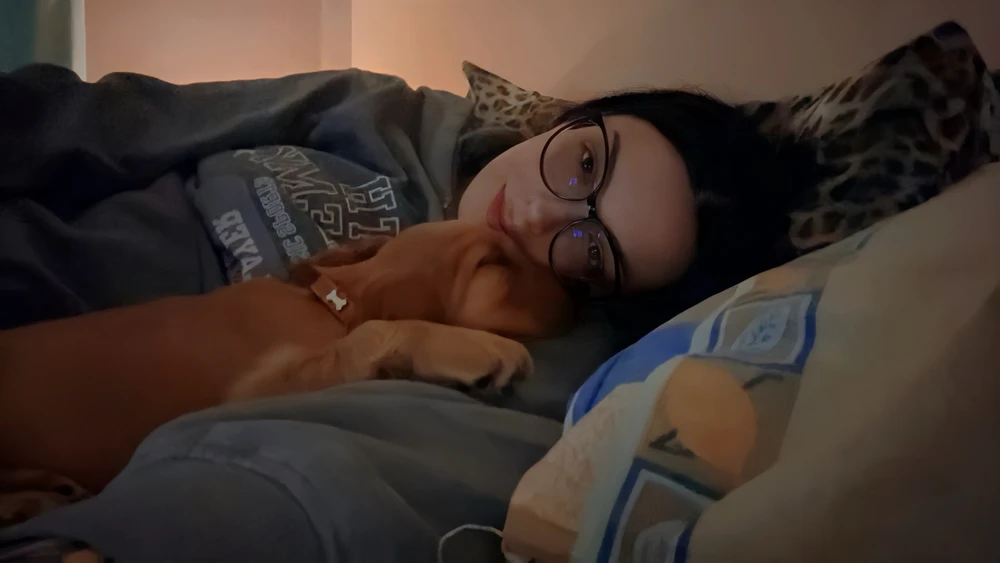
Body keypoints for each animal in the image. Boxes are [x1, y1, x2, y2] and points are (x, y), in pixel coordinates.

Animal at [0, 220, 574, 493]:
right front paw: (477, 348)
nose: (580, 283)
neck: (330, 302)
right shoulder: (249, 391)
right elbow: (376, 331)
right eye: (494, 263)